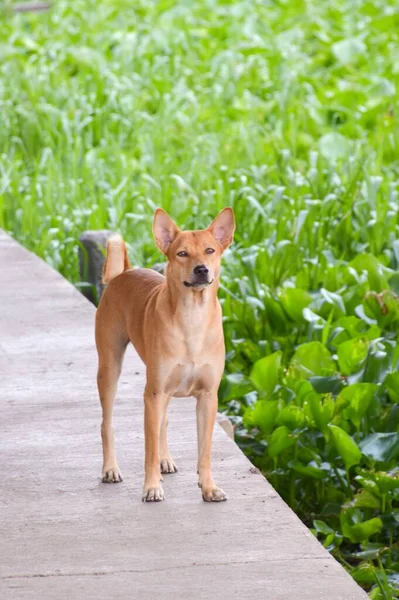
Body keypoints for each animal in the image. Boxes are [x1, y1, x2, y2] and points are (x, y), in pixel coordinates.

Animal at [95, 207, 236, 502]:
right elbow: (148, 449)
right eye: (182, 253)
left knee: (163, 422)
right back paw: (110, 468)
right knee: (107, 423)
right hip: (110, 368)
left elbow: (204, 450)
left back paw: (165, 460)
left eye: (210, 250)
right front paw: (151, 487)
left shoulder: (208, 397)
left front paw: (208, 487)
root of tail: (121, 274)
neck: (192, 316)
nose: (202, 269)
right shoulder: (154, 393)